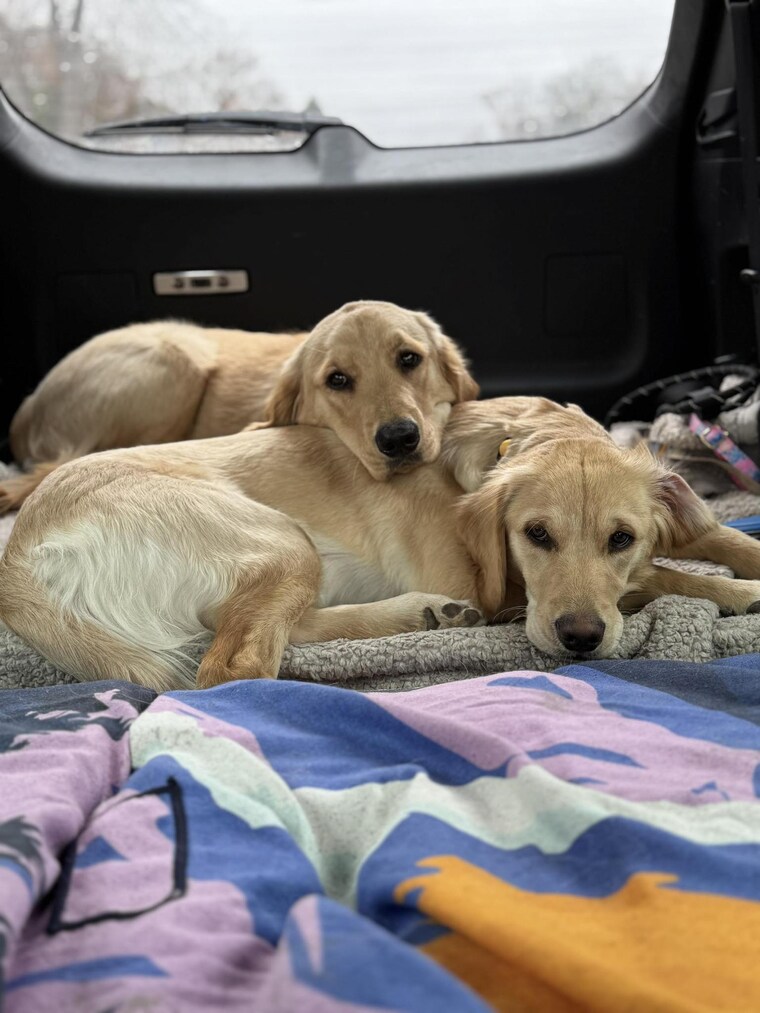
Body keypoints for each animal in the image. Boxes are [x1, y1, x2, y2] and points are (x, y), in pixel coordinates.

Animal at [1, 396, 759, 692]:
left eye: (619, 536)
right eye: (535, 536)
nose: (579, 638)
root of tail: (19, 555)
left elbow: (708, 535)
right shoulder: (504, 587)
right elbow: (661, 576)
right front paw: (736, 591)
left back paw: (425, 615)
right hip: (280, 536)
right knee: (236, 665)